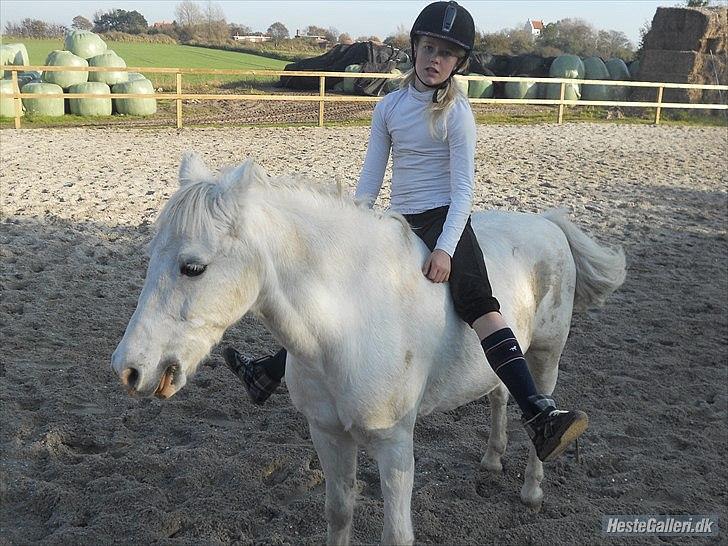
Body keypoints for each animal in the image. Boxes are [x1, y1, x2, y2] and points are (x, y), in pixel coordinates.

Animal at [112, 153, 626, 545]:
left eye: (193, 267)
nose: (129, 368)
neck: (347, 319)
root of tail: (547, 223)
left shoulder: (394, 443)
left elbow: (396, 535)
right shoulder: (327, 434)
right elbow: (339, 513)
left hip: (546, 354)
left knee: (539, 403)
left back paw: (534, 485)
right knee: (501, 393)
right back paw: (492, 460)